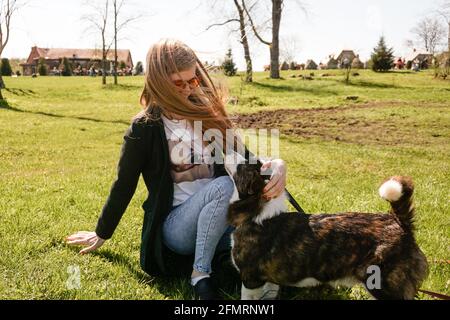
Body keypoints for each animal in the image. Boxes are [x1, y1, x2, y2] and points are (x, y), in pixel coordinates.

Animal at [225, 156, 428, 300]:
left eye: (241, 166)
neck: (256, 210)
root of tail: (400, 223)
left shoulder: (251, 279)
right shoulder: (267, 280)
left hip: (383, 286)